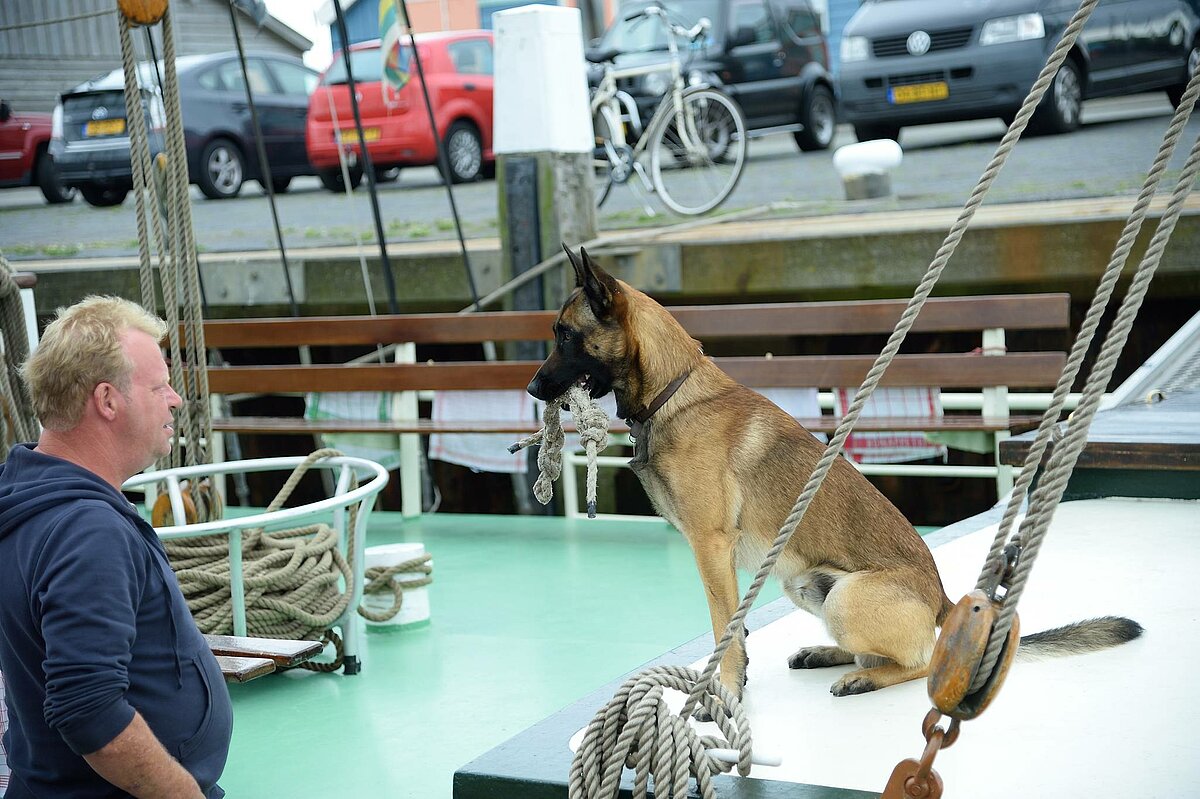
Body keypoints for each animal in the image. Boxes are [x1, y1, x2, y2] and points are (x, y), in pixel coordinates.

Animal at [528, 246, 1142, 700]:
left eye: (564, 335)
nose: (532, 388)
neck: (673, 393)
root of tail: (944, 601)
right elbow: (734, 628)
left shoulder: (711, 546)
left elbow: (724, 629)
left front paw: (723, 692)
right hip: (806, 584)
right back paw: (828, 654)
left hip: (847, 596)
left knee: (922, 661)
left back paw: (864, 677)